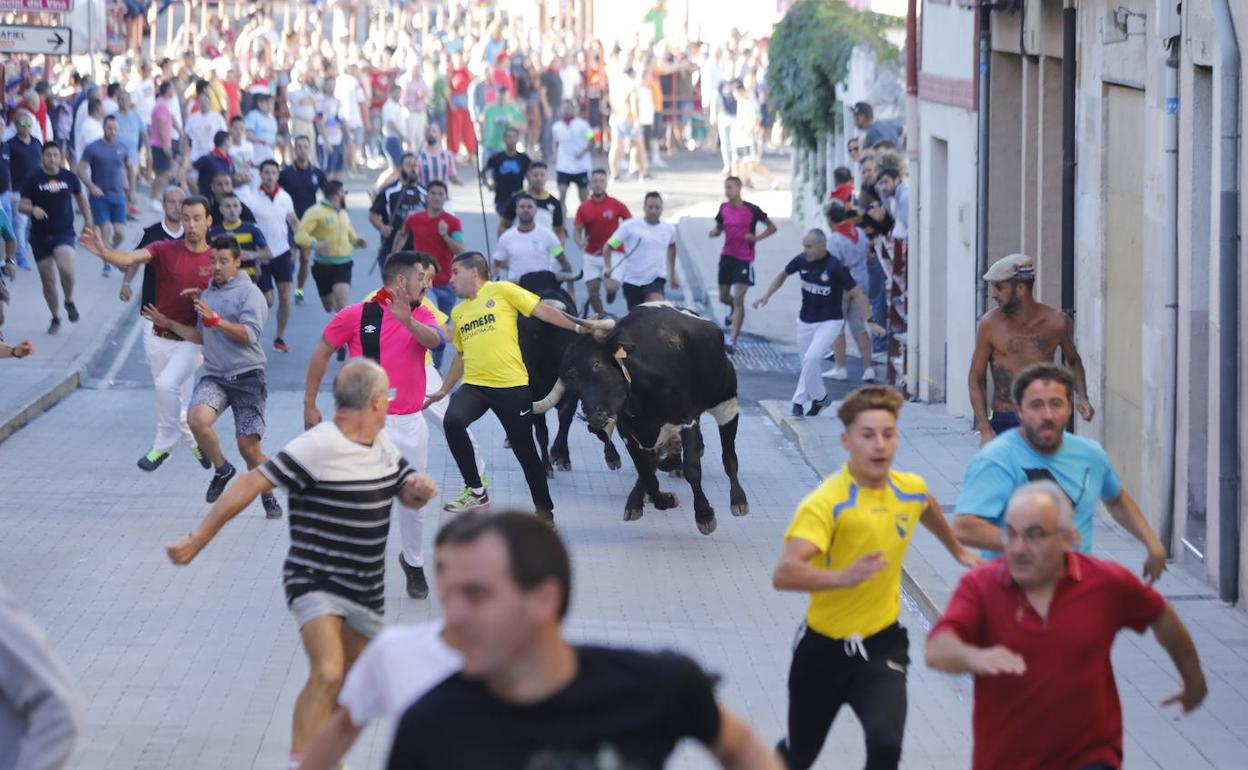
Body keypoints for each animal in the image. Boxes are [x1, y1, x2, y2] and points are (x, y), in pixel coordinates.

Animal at [514, 270, 621, 474]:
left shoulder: (573, 389)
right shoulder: (534, 391)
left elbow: (565, 418)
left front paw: (561, 456)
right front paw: (546, 464)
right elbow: (541, 428)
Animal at [531, 303, 743, 531]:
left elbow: (692, 468)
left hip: (727, 403)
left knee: (729, 456)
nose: (594, 418)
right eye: (571, 377)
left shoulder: (688, 420)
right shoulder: (630, 432)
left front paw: (704, 515)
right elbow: (646, 473)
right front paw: (663, 500)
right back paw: (637, 500)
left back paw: (738, 500)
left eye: (596, 364)